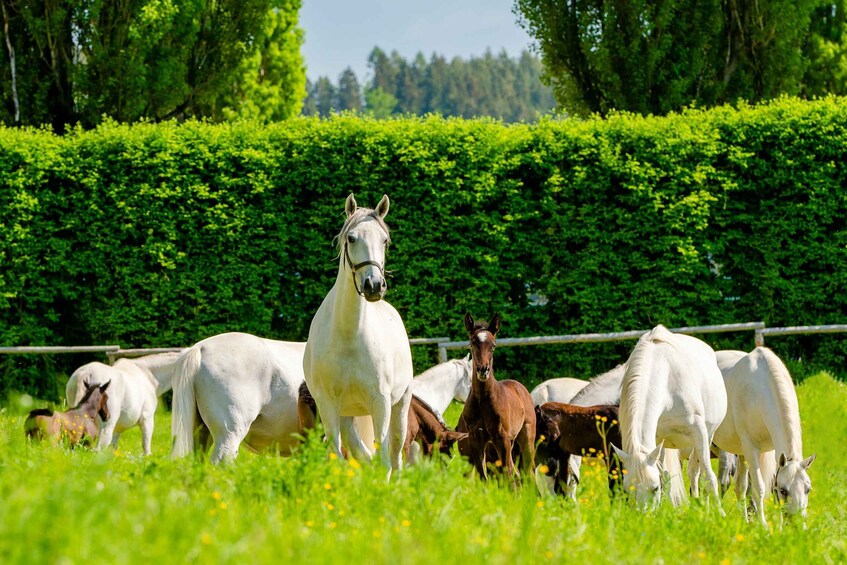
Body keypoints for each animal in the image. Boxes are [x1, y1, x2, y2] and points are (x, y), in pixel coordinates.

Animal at [304, 194, 414, 472]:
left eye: (384, 240)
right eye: (351, 238)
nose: (374, 285)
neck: (348, 336)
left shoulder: (381, 402)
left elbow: (385, 458)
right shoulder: (328, 405)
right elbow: (338, 455)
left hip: (400, 406)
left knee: (395, 454)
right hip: (346, 415)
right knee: (361, 453)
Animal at [458, 312, 536, 480]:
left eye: (493, 345)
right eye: (472, 344)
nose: (483, 370)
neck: (482, 400)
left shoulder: (502, 439)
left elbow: (507, 474)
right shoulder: (476, 439)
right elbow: (483, 475)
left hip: (526, 436)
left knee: (528, 471)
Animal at [608, 324, 728, 508]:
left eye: (654, 488)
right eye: (628, 490)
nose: (642, 514)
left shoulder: (699, 433)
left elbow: (709, 477)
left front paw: (718, 513)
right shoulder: (656, 439)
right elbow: (664, 477)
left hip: (707, 436)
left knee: (695, 471)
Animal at [712, 346, 820, 528]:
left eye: (808, 489)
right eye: (783, 490)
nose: (797, 526)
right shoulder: (751, 448)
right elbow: (759, 488)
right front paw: (763, 526)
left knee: (738, 487)